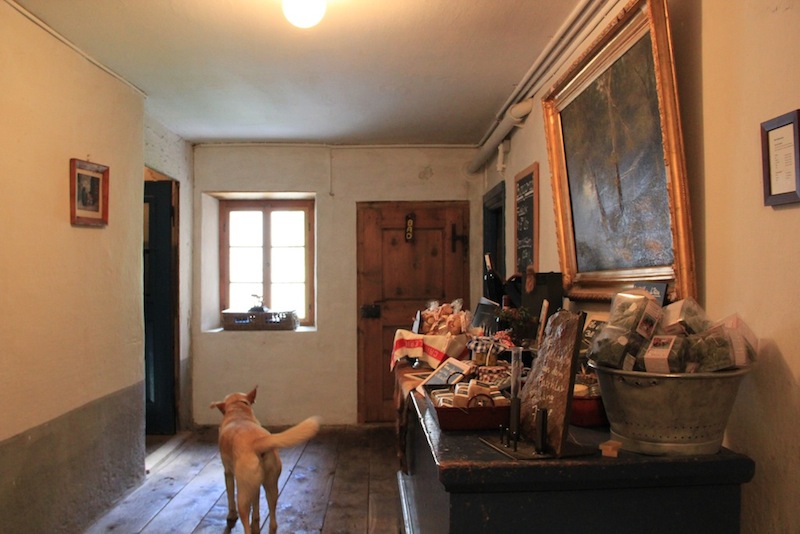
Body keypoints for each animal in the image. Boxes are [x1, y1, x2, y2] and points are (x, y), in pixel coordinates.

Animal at [210, 386, 320, 534]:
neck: (238, 411)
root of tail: (257, 442)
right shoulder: (256, 486)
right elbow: (256, 505)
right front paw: (256, 519)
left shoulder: (228, 473)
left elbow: (230, 495)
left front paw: (231, 515)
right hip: (272, 486)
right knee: (273, 522)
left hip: (243, 496)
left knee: (246, 525)